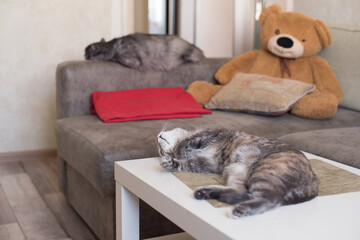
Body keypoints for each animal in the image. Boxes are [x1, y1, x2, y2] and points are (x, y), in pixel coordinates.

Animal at [158, 128, 318, 218]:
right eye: (160, 151)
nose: (157, 137)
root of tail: (314, 182)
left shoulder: (209, 136)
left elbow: (184, 143)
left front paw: (178, 153)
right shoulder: (208, 163)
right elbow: (187, 164)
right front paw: (170, 161)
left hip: (265, 172)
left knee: (270, 199)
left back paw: (239, 210)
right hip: (238, 171)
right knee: (243, 192)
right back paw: (205, 193)